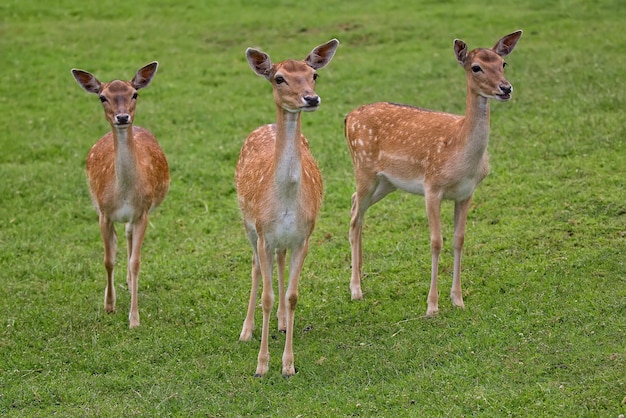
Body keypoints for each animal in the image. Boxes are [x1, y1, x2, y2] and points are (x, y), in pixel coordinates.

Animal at [71, 62, 169, 330]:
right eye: (102, 97)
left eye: (134, 94)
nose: (123, 117)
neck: (124, 193)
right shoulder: (103, 214)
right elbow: (107, 259)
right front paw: (109, 305)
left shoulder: (143, 213)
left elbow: (136, 262)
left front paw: (134, 319)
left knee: (128, 236)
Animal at [236, 39, 338, 376]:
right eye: (279, 78)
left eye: (313, 75)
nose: (311, 98)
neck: (285, 202)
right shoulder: (264, 234)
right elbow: (266, 297)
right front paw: (261, 365)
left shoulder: (303, 236)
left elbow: (293, 296)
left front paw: (288, 365)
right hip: (248, 226)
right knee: (255, 267)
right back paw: (246, 331)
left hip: (281, 240)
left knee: (279, 263)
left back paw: (281, 323)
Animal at [344, 29, 520, 316]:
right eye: (476, 67)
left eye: (503, 63)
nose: (505, 88)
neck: (462, 158)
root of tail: (348, 117)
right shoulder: (432, 187)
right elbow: (436, 242)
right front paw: (432, 306)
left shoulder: (466, 193)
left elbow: (459, 239)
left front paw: (458, 299)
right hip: (363, 167)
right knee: (355, 218)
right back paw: (356, 290)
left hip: (386, 182)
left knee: (354, 206)